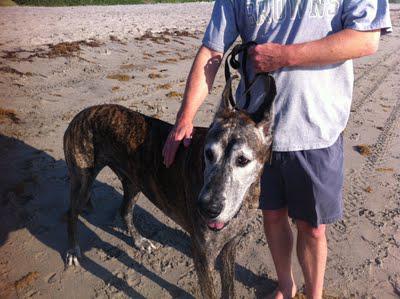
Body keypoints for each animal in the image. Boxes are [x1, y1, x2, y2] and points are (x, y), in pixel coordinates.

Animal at [63, 78, 276, 299]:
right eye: (208, 153)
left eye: (243, 160)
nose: (207, 209)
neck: (243, 199)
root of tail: (82, 113)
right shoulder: (203, 255)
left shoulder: (229, 246)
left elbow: (230, 289)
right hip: (83, 182)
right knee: (71, 213)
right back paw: (72, 250)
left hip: (134, 183)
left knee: (125, 211)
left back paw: (139, 241)